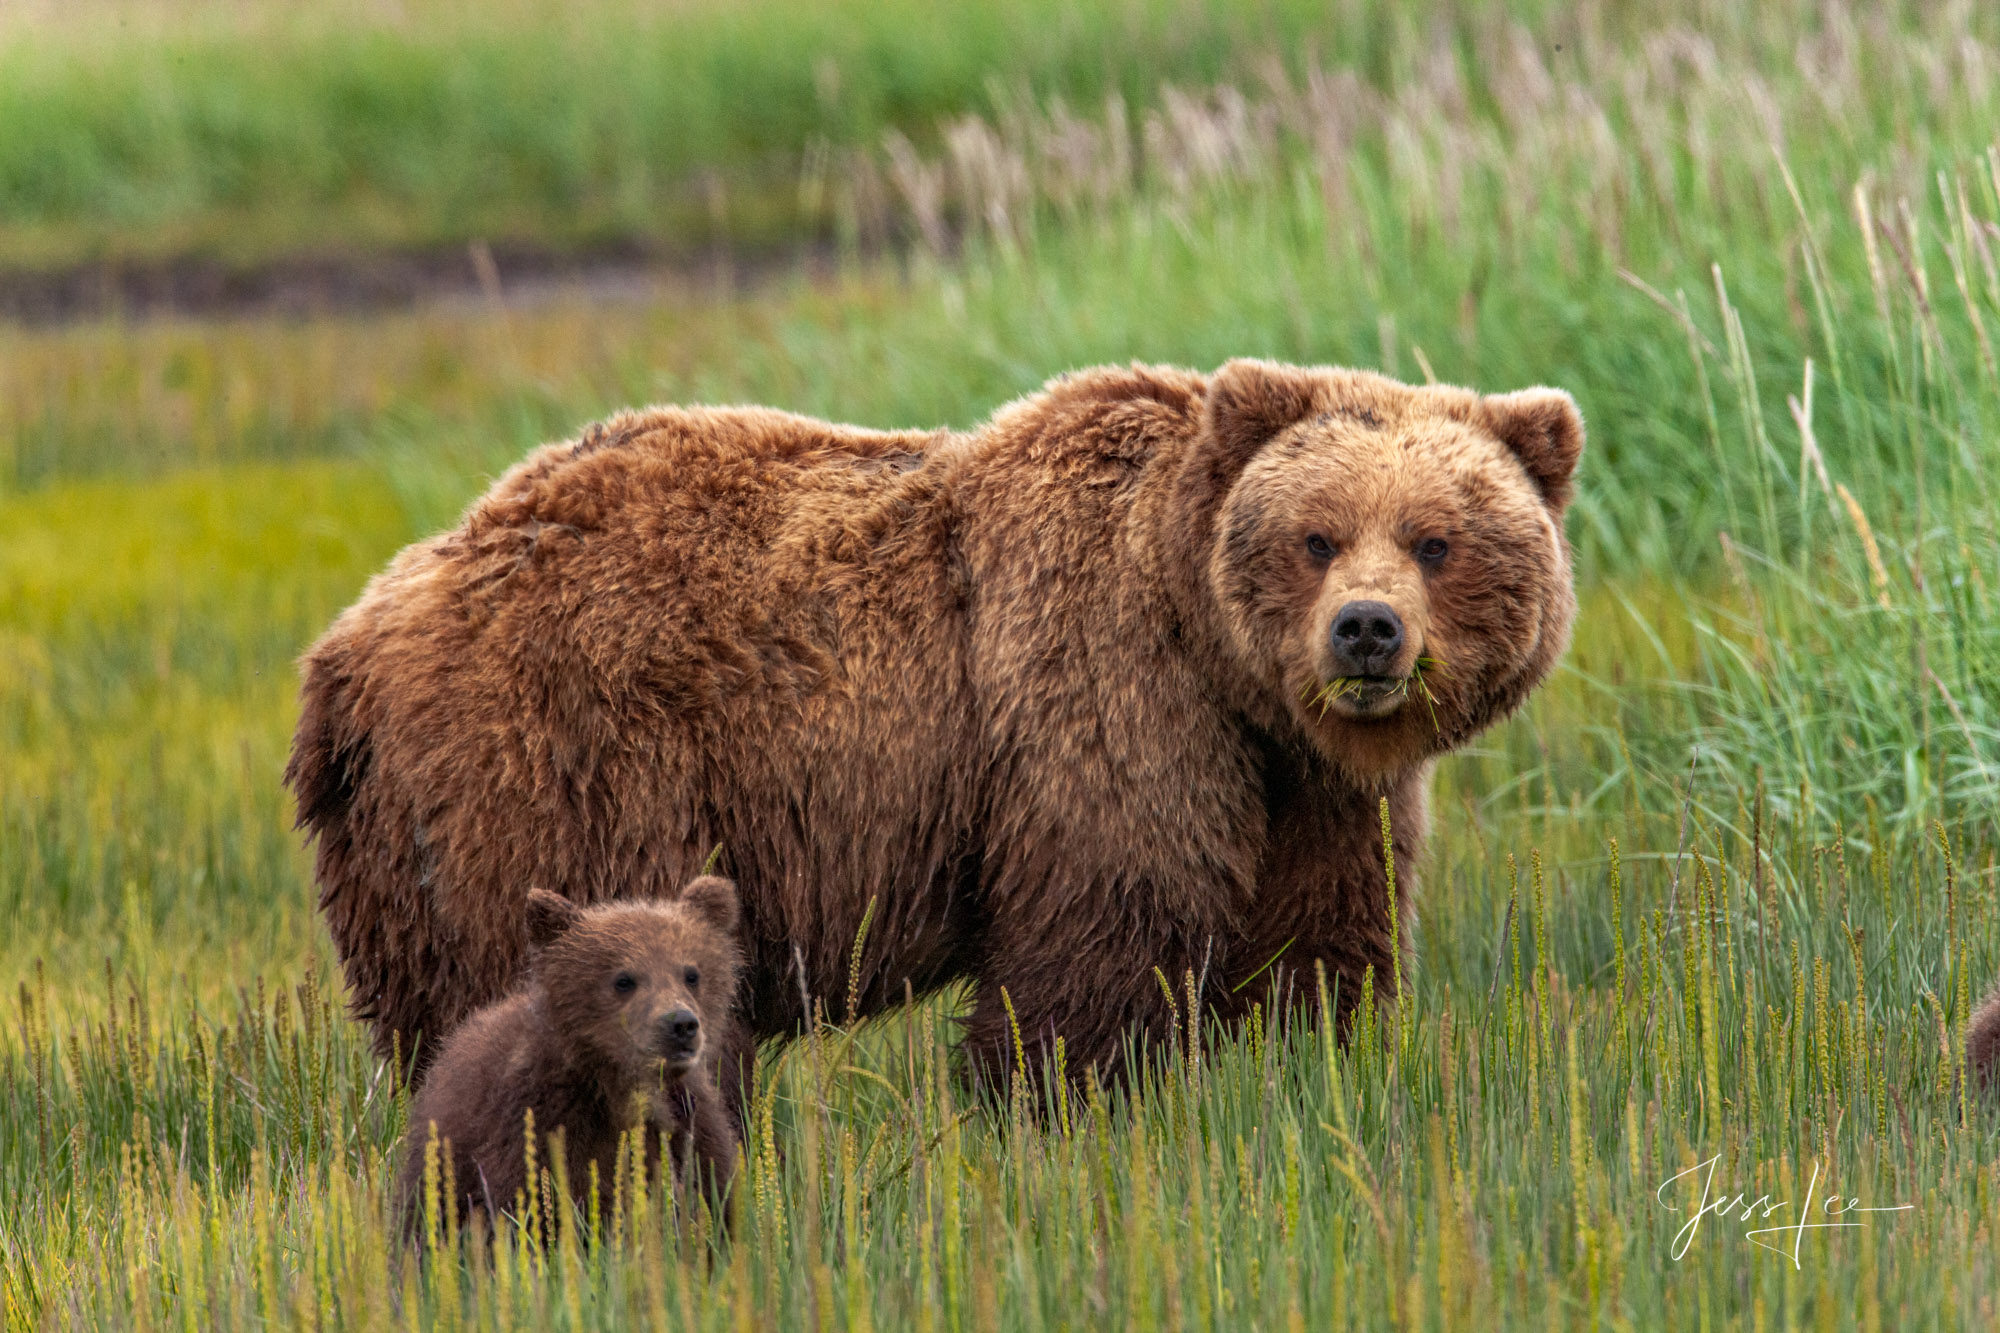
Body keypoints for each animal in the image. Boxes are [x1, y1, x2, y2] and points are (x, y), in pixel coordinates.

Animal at [290, 358, 1584, 1096]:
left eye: (1434, 539)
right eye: (1315, 535)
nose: (1365, 631)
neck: (1218, 658)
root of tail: (347, 645)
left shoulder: (1307, 786)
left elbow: (1313, 949)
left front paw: (1304, 1078)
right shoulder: (1107, 692)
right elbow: (1100, 935)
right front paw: (1060, 1105)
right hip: (550, 768)